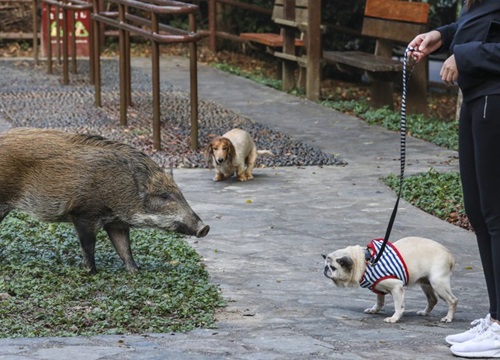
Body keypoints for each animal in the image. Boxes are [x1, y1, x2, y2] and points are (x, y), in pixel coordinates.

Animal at [322, 236, 458, 324]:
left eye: (333, 267)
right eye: (326, 265)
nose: (325, 269)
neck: (365, 261)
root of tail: (449, 254)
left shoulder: (397, 287)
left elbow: (399, 306)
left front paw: (394, 318)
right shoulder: (378, 289)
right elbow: (379, 301)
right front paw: (374, 310)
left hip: (437, 283)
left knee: (452, 300)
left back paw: (448, 318)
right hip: (426, 283)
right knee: (432, 299)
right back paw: (425, 312)